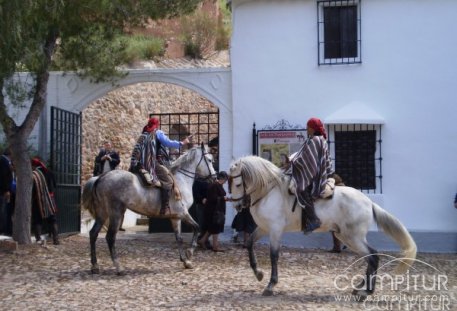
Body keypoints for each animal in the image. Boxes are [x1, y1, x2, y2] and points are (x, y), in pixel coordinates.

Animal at [81, 145, 216, 274]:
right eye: (209, 160)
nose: (215, 177)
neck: (181, 180)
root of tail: (100, 178)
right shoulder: (183, 213)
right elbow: (197, 228)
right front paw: (190, 253)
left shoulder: (175, 217)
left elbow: (179, 238)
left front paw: (185, 261)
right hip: (116, 213)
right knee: (110, 237)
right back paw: (119, 268)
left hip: (102, 214)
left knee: (93, 234)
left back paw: (95, 266)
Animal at [226, 156, 416, 300]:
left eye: (237, 184)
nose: (237, 205)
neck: (269, 192)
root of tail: (369, 202)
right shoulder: (263, 229)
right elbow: (249, 244)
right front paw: (258, 273)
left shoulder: (275, 230)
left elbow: (273, 256)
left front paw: (270, 285)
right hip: (345, 237)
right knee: (369, 258)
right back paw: (359, 288)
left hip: (353, 237)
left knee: (374, 256)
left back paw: (366, 292)